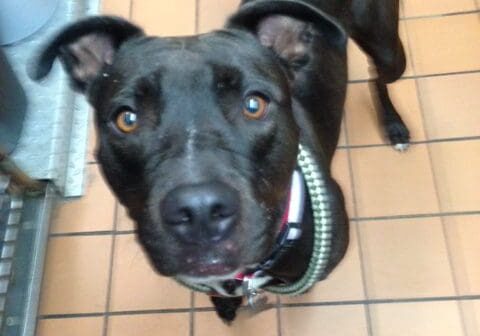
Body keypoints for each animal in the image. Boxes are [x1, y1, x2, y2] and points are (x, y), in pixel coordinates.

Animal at [32, 0, 408, 322]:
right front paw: (225, 304)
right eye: (127, 119)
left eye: (254, 105)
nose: (199, 211)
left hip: (389, 51)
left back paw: (394, 125)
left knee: (378, 77)